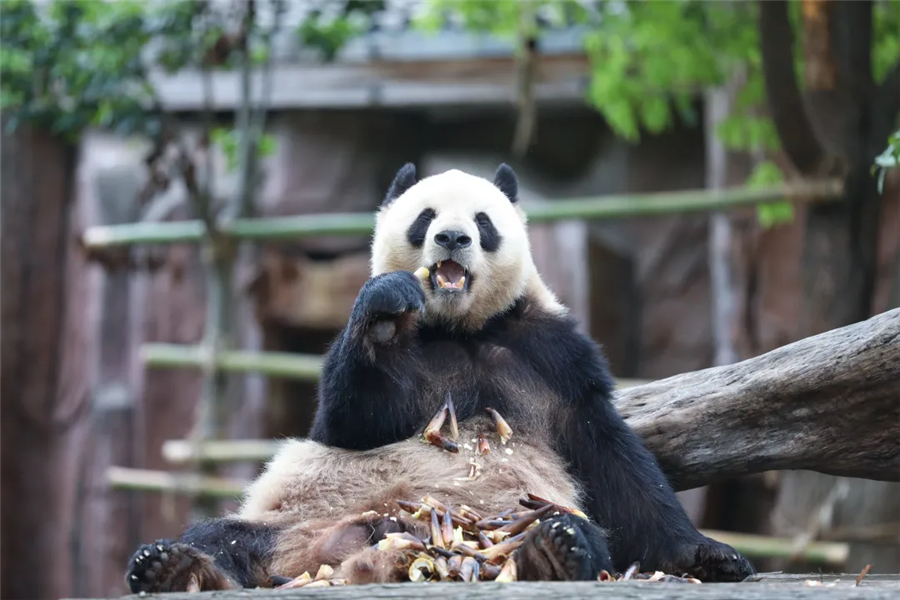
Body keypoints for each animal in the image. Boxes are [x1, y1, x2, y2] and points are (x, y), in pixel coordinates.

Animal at [125, 163, 752, 592]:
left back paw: (551, 551)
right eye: (425, 217)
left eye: (483, 221)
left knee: (573, 531)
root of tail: (341, 554)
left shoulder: (551, 353)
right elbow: (347, 423)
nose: (451, 238)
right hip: (293, 519)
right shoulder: (400, 364)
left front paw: (708, 556)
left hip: (509, 514)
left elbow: (612, 457)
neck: (458, 328)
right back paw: (169, 566)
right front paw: (383, 313)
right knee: (221, 537)